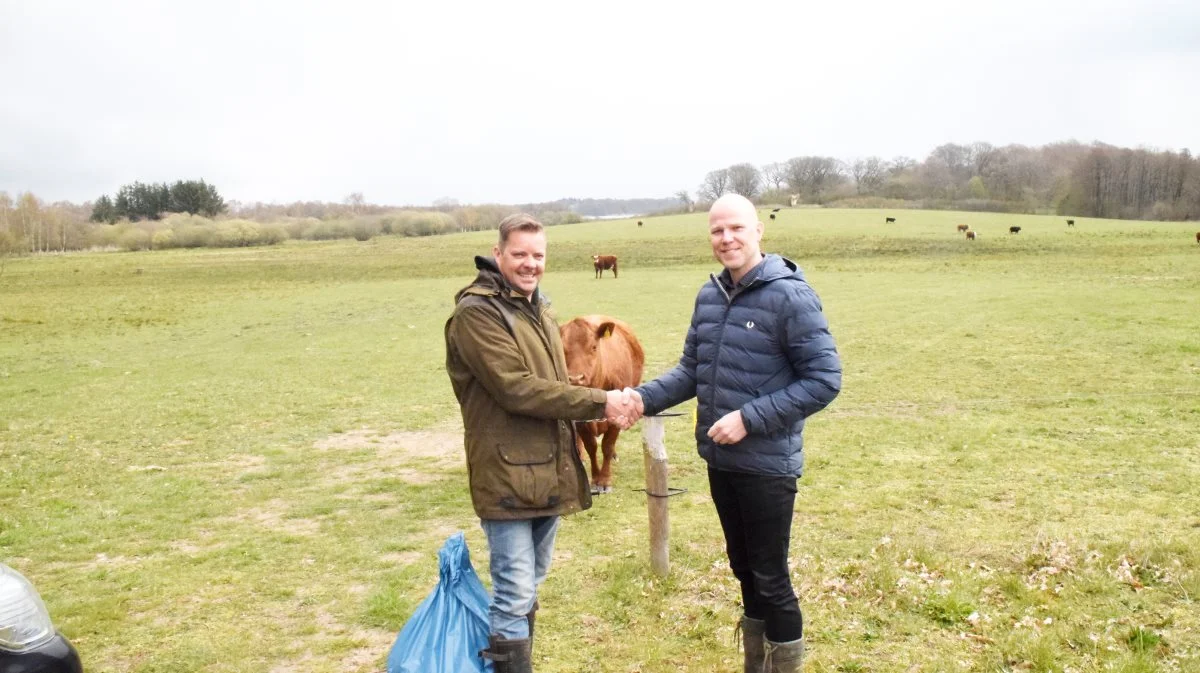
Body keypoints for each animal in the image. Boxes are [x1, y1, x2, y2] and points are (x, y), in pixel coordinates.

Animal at [556, 314, 643, 494]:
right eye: (563, 349)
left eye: (594, 347)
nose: (576, 378)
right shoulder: (580, 419)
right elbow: (591, 446)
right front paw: (596, 478)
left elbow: (607, 446)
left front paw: (604, 480)